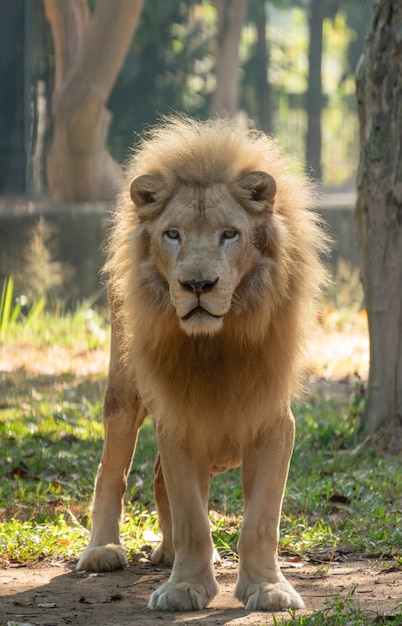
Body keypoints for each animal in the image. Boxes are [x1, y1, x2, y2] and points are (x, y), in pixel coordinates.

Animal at [77, 116, 328, 608]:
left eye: (229, 233)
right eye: (172, 234)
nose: (197, 285)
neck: (218, 346)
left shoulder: (274, 422)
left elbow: (260, 520)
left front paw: (268, 588)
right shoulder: (178, 419)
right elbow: (193, 515)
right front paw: (185, 587)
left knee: (157, 476)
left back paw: (167, 553)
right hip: (124, 390)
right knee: (111, 471)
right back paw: (103, 550)